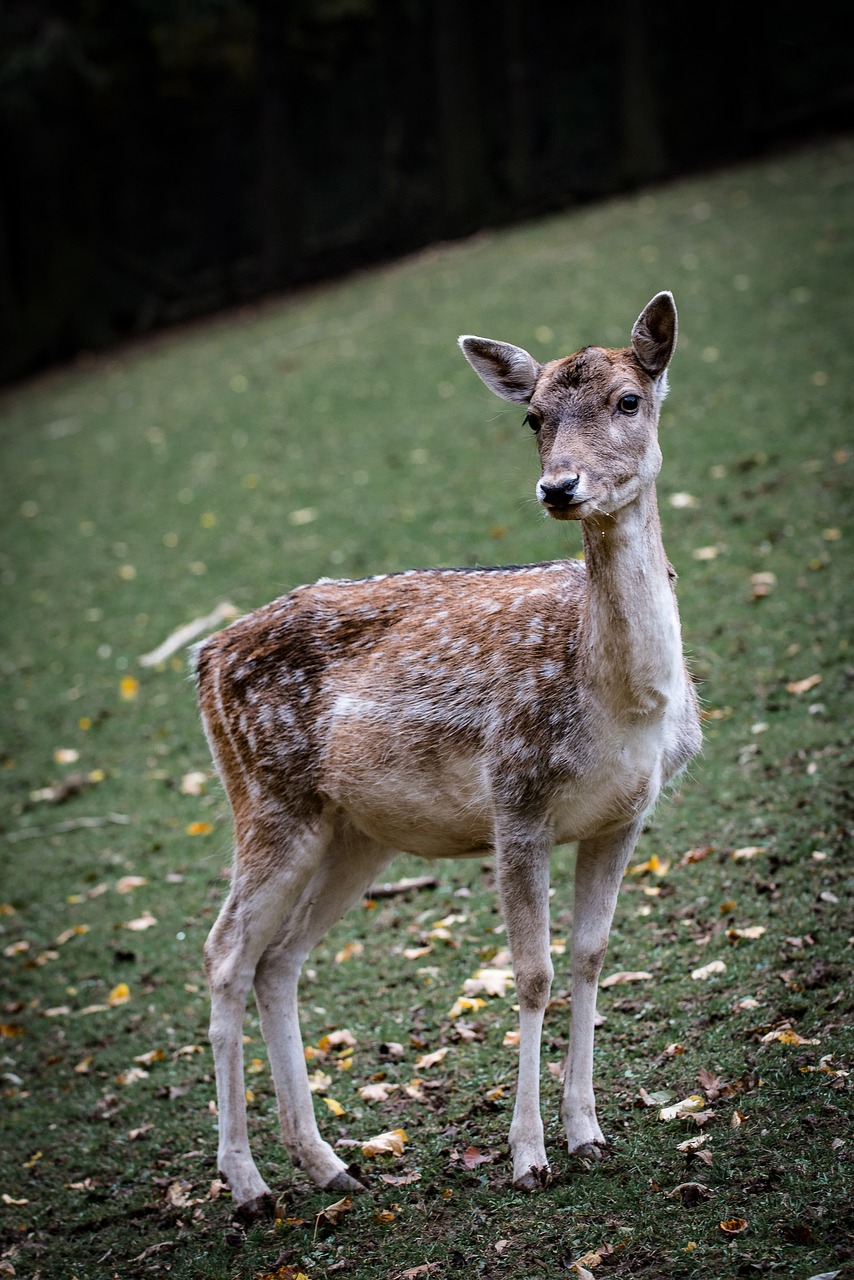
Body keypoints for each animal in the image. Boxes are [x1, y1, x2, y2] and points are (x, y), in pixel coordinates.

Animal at [197, 293, 706, 1218]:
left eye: (628, 400)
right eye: (533, 416)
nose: (559, 486)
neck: (626, 706)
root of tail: (203, 657)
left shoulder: (626, 813)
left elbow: (591, 957)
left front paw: (589, 1133)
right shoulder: (516, 797)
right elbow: (532, 972)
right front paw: (529, 1155)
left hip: (354, 831)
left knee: (278, 960)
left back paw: (329, 1164)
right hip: (266, 796)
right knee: (224, 955)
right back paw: (249, 1184)